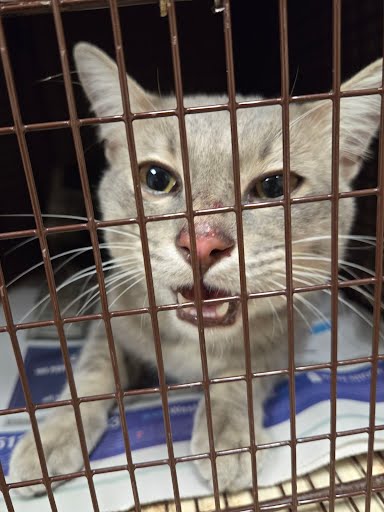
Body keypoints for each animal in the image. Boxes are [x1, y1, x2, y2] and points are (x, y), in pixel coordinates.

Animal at [9, 42, 384, 498]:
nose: (202, 242)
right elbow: (92, 371)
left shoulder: (285, 338)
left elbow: (240, 373)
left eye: (274, 186)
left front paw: (227, 435)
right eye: (156, 178)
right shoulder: (114, 316)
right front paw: (52, 435)